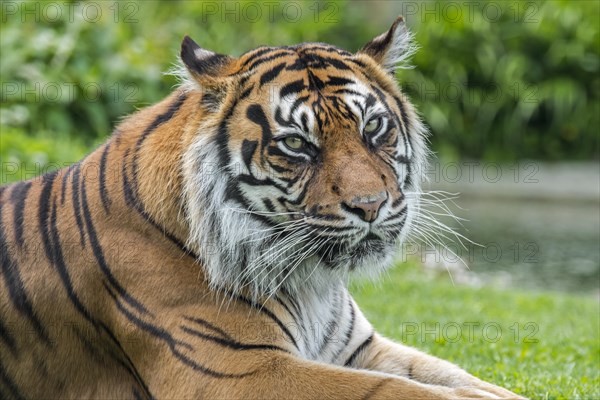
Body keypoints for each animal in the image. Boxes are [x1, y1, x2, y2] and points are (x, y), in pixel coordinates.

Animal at [0, 16, 524, 400]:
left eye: (373, 127)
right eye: (296, 144)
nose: (370, 206)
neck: (311, 281)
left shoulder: (357, 348)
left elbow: (460, 378)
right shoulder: (239, 369)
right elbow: (398, 391)